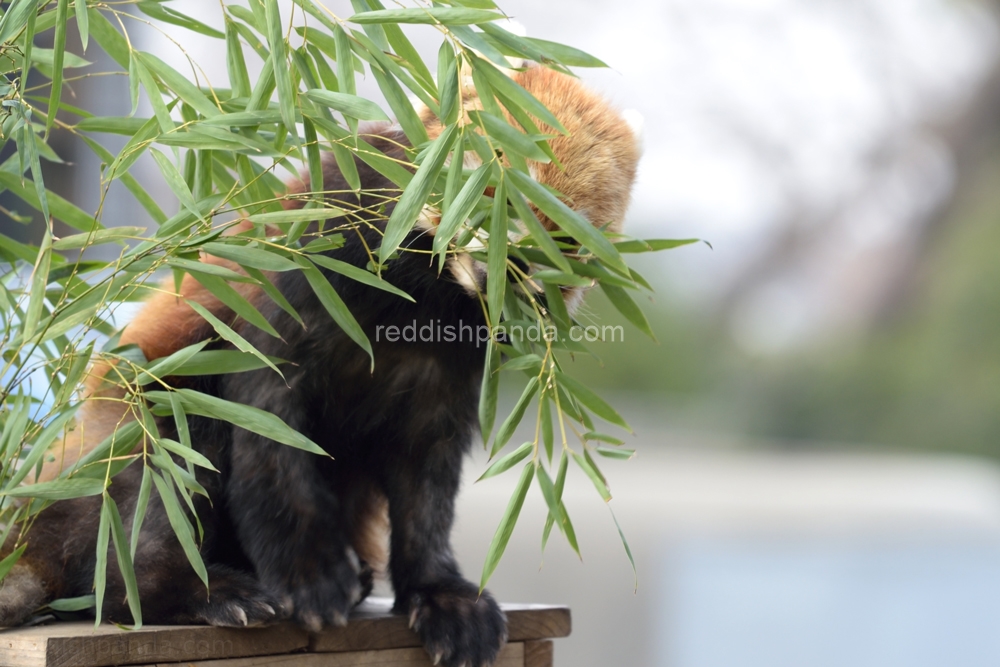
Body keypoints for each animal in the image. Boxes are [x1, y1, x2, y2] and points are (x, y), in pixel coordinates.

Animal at [0, 62, 640, 667]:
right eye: (492, 197)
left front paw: (445, 597)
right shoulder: (300, 271)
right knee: (159, 480)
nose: (503, 273)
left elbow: (427, 486)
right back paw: (205, 590)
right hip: (145, 418)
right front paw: (310, 577)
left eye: (565, 241)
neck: (418, 297)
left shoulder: (452, 370)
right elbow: (270, 435)